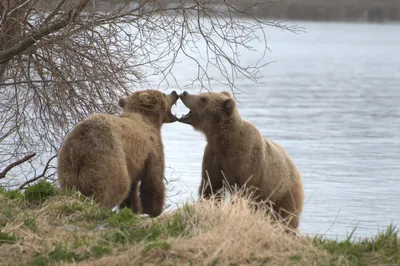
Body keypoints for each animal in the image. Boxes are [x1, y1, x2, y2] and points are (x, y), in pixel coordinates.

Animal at [56, 88, 178, 217]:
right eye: (164, 94)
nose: (175, 93)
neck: (150, 121)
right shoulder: (152, 147)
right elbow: (153, 180)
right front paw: (153, 211)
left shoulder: (134, 163)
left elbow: (133, 189)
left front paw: (134, 209)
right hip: (106, 155)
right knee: (116, 186)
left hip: (68, 164)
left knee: (69, 186)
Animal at [178, 90, 304, 230]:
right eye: (202, 94)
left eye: (203, 98)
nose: (184, 93)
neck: (224, 142)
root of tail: (297, 171)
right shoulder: (213, 156)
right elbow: (211, 186)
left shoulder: (246, 160)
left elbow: (243, 192)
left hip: (283, 191)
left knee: (286, 216)